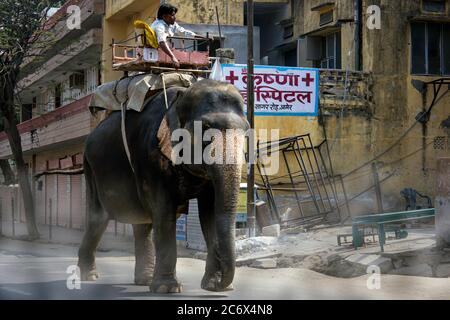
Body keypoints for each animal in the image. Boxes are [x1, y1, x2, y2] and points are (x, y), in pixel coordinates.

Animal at [75, 79, 248, 292]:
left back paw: (144, 280)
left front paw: (213, 286)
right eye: (205, 127)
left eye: (247, 129)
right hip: (91, 169)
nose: (223, 283)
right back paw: (89, 276)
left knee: (142, 223)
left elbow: (210, 213)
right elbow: (164, 212)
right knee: (98, 220)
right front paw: (168, 288)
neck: (179, 99)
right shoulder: (151, 158)